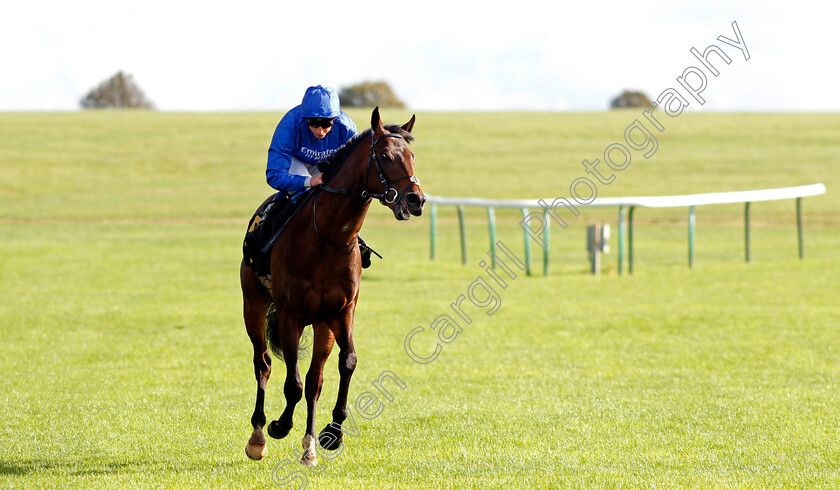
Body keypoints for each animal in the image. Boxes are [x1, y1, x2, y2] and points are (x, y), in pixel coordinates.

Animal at [243, 105, 426, 466]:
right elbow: (293, 382)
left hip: (322, 324)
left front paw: (332, 433)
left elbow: (345, 363)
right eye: (385, 156)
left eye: (412, 155)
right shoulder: (290, 314)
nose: (416, 200)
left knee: (315, 378)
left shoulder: (341, 312)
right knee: (264, 363)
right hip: (253, 305)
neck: (328, 237)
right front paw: (279, 426)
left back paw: (309, 446)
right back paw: (258, 436)